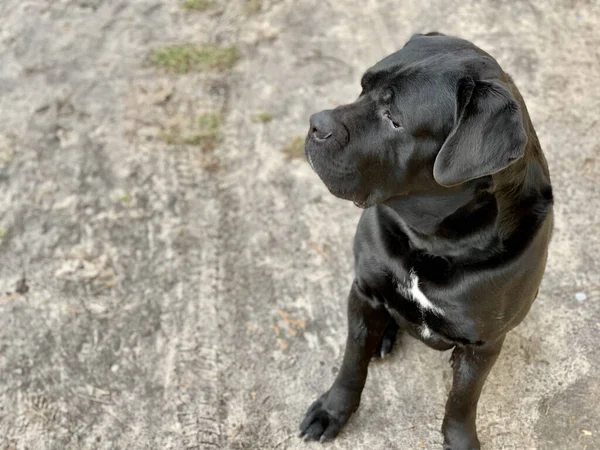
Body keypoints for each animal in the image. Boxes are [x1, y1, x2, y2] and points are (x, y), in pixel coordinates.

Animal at [298, 32, 552, 450]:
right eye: (363, 87)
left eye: (394, 118)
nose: (316, 124)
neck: (431, 242)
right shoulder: (364, 289)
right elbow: (351, 362)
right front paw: (333, 410)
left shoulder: (484, 343)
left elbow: (463, 400)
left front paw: (461, 440)